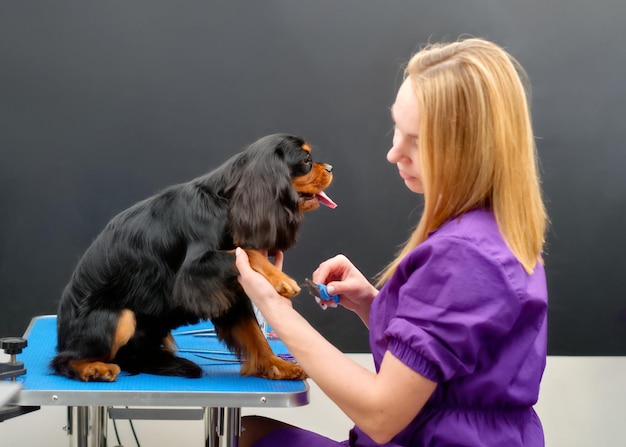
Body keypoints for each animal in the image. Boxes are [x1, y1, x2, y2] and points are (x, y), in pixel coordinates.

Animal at [51, 133, 334, 382]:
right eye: (306, 160)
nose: (331, 167)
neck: (226, 201)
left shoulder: (228, 290)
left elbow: (256, 335)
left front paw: (276, 365)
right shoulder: (196, 272)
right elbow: (248, 252)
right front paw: (281, 279)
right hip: (120, 317)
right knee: (63, 360)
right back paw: (93, 368)